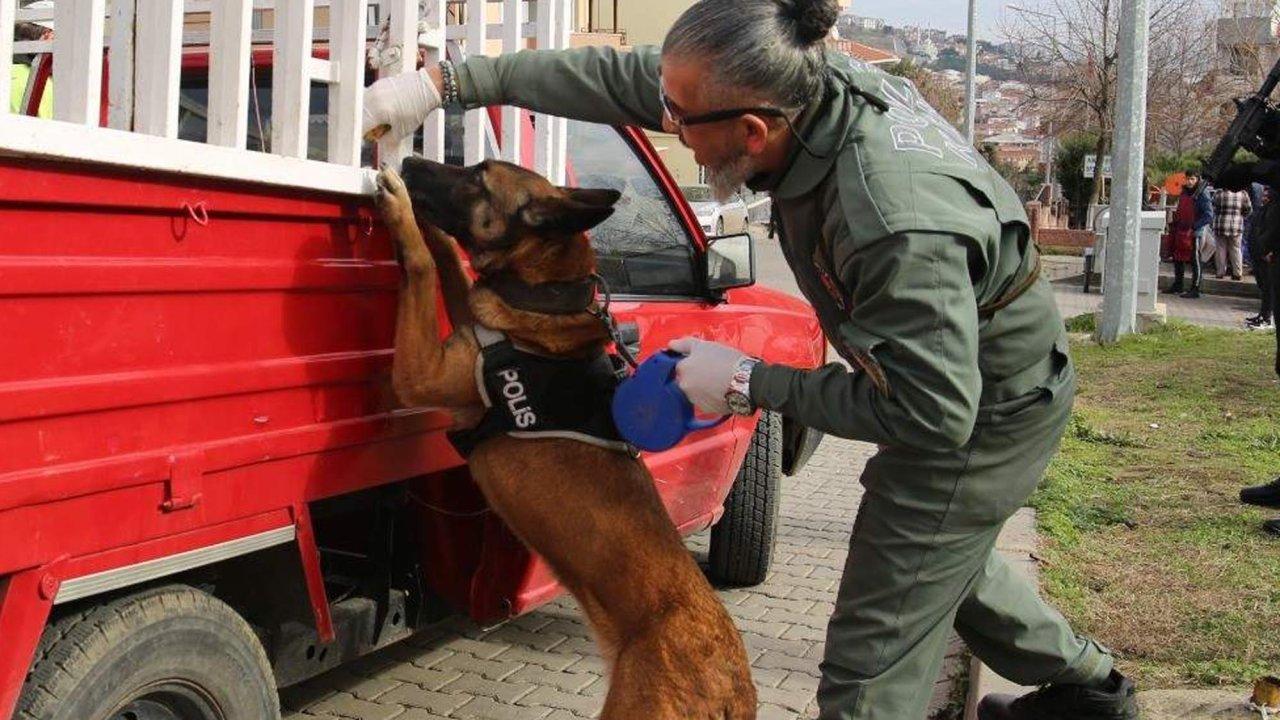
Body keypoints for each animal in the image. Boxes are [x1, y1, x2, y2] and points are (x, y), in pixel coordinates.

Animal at [373, 158, 757, 719]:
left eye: (478, 177)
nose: (411, 161)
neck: (544, 298)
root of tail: (734, 687)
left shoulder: (420, 375)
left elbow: (422, 269)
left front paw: (402, 210)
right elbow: (451, 271)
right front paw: (435, 233)